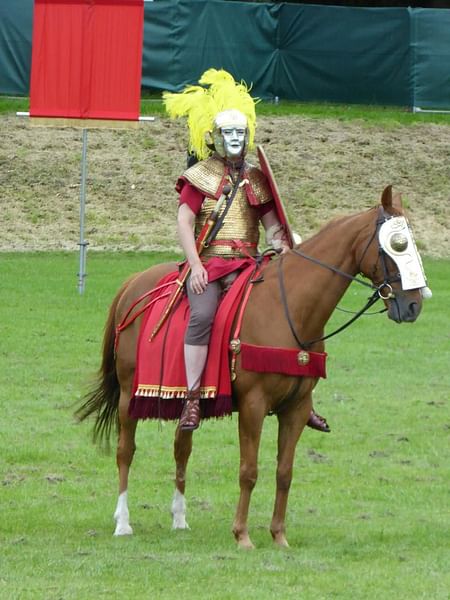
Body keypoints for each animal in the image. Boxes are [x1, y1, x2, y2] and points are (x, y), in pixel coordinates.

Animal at [75, 186, 424, 548]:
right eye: (397, 244)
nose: (415, 304)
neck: (290, 308)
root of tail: (132, 284)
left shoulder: (296, 408)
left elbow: (284, 472)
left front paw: (279, 535)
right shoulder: (253, 405)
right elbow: (249, 470)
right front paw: (242, 534)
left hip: (182, 398)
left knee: (182, 448)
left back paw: (180, 518)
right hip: (127, 395)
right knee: (125, 451)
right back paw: (123, 522)